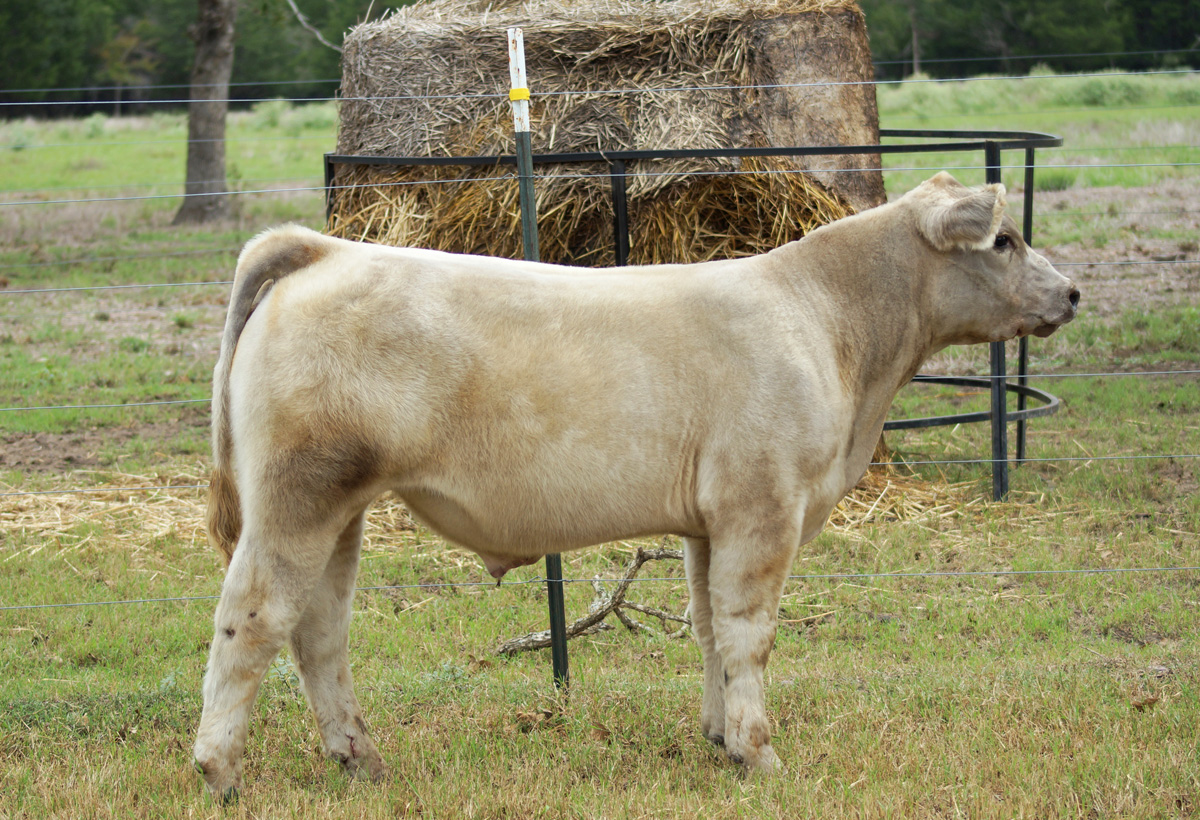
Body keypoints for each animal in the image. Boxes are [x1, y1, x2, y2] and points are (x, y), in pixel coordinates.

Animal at [193, 172, 1078, 801]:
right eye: (1004, 239)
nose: (1071, 292)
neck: (832, 327)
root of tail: (329, 248)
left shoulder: (708, 523)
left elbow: (709, 629)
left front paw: (720, 739)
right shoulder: (764, 506)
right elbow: (750, 632)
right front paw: (760, 753)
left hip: (340, 508)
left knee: (319, 631)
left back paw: (361, 759)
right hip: (299, 497)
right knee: (253, 618)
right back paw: (220, 770)